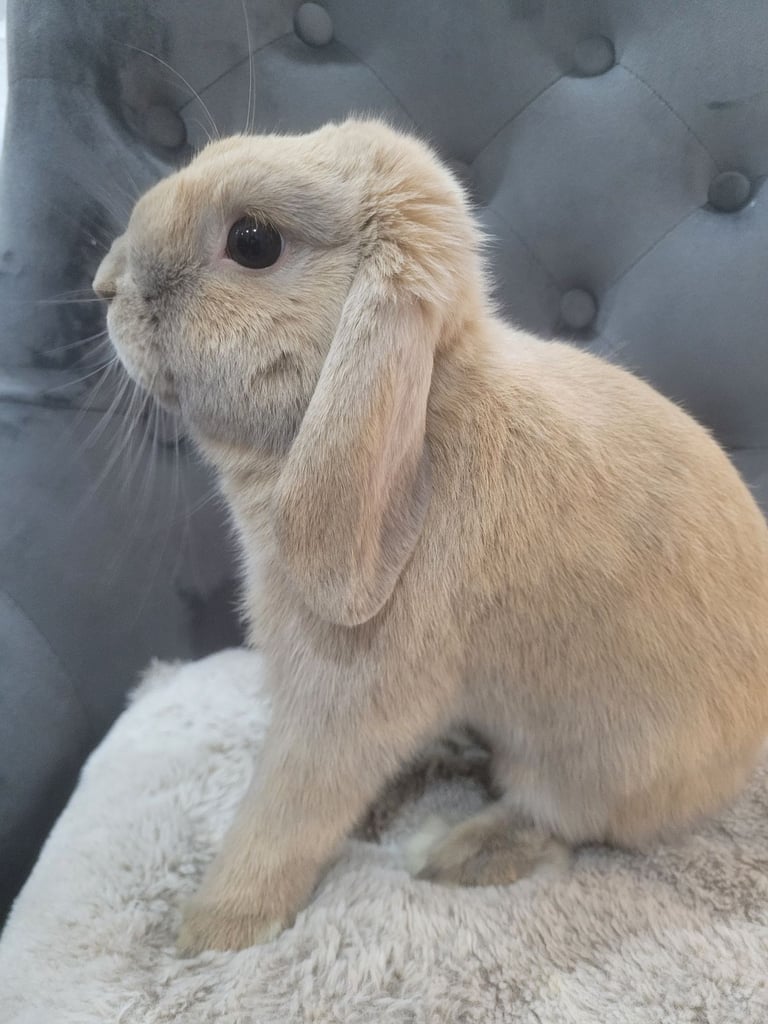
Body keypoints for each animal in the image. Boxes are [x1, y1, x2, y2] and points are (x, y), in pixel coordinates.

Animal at [93, 118, 768, 954]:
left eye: (253, 242)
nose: (104, 283)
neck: (426, 416)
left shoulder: (345, 695)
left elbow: (286, 808)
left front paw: (212, 930)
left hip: (601, 758)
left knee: (560, 818)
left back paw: (449, 851)